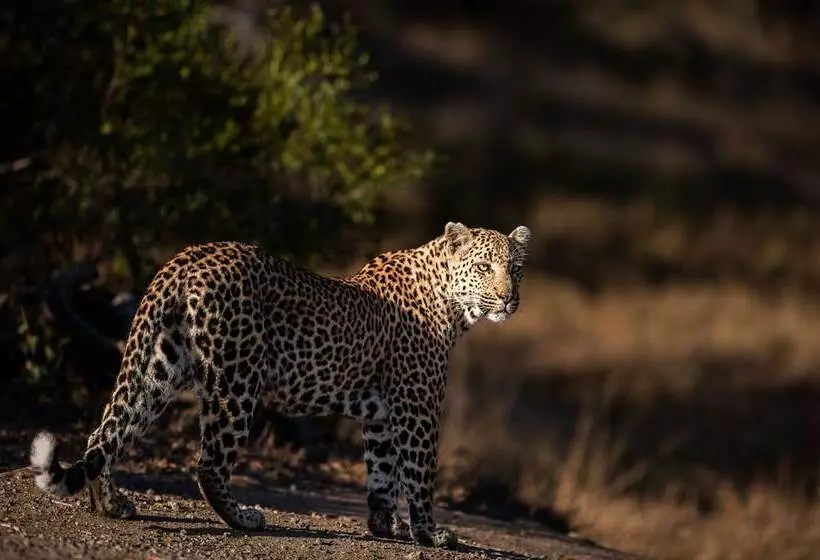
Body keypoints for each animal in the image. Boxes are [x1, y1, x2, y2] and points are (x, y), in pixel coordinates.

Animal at [29, 221, 531, 549]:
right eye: (484, 267)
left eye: (515, 269)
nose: (509, 298)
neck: (454, 305)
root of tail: (189, 255)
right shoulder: (417, 408)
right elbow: (419, 474)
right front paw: (430, 533)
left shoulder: (383, 414)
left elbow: (382, 472)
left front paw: (383, 526)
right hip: (235, 380)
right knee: (209, 463)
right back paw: (244, 518)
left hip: (158, 365)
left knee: (106, 433)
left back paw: (111, 504)